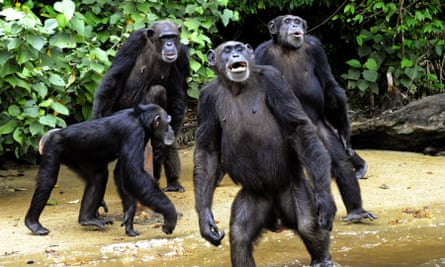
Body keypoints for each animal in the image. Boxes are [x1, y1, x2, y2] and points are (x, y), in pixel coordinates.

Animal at [24, 103, 177, 238]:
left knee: (98, 177)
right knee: (47, 181)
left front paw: (129, 218)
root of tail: (51, 134)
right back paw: (33, 223)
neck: (140, 120)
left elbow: (121, 173)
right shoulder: (134, 133)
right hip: (53, 147)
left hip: (79, 158)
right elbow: (134, 173)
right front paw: (170, 215)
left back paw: (87, 218)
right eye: (168, 122)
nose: (171, 129)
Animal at [92, 19, 189, 194]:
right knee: (156, 91)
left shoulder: (182, 57)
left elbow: (177, 96)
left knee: (159, 93)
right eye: (164, 38)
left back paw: (172, 182)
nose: (170, 44)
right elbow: (114, 78)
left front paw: (164, 146)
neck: (155, 48)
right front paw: (97, 118)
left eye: (173, 36)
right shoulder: (132, 42)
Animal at [194, 40, 336, 266]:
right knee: (240, 236)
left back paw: (322, 259)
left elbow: (298, 128)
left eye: (239, 48)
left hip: (294, 189)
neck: (236, 87)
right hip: (254, 198)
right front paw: (205, 219)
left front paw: (325, 200)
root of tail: (277, 219)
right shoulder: (205, 98)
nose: (236, 55)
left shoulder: (274, 80)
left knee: (308, 225)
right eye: (227, 50)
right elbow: (207, 150)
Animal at [253, 15, 374, 224]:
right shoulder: (260, 55)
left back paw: (356, 211)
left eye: (297, 20)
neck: (288, 49)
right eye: (287, 21)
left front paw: (345, 132)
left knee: (339, 162)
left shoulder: (317, 49)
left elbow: (329, 86)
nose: (295, 25)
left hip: (319, 130)